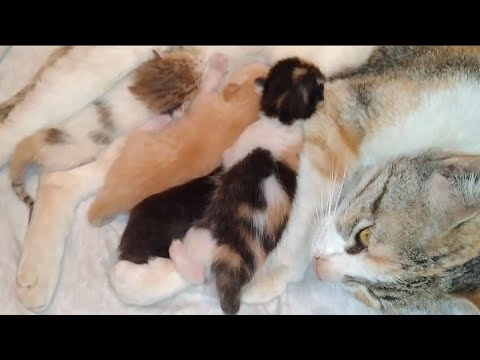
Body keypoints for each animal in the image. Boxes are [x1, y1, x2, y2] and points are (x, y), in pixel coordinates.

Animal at [169, 57, 326, 316]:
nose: (322, 76)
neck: (282, 122)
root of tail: (233, 264)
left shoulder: (235, 150)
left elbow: (227, 157)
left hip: (199, 235)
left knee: (196, 273)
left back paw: (175, 250)